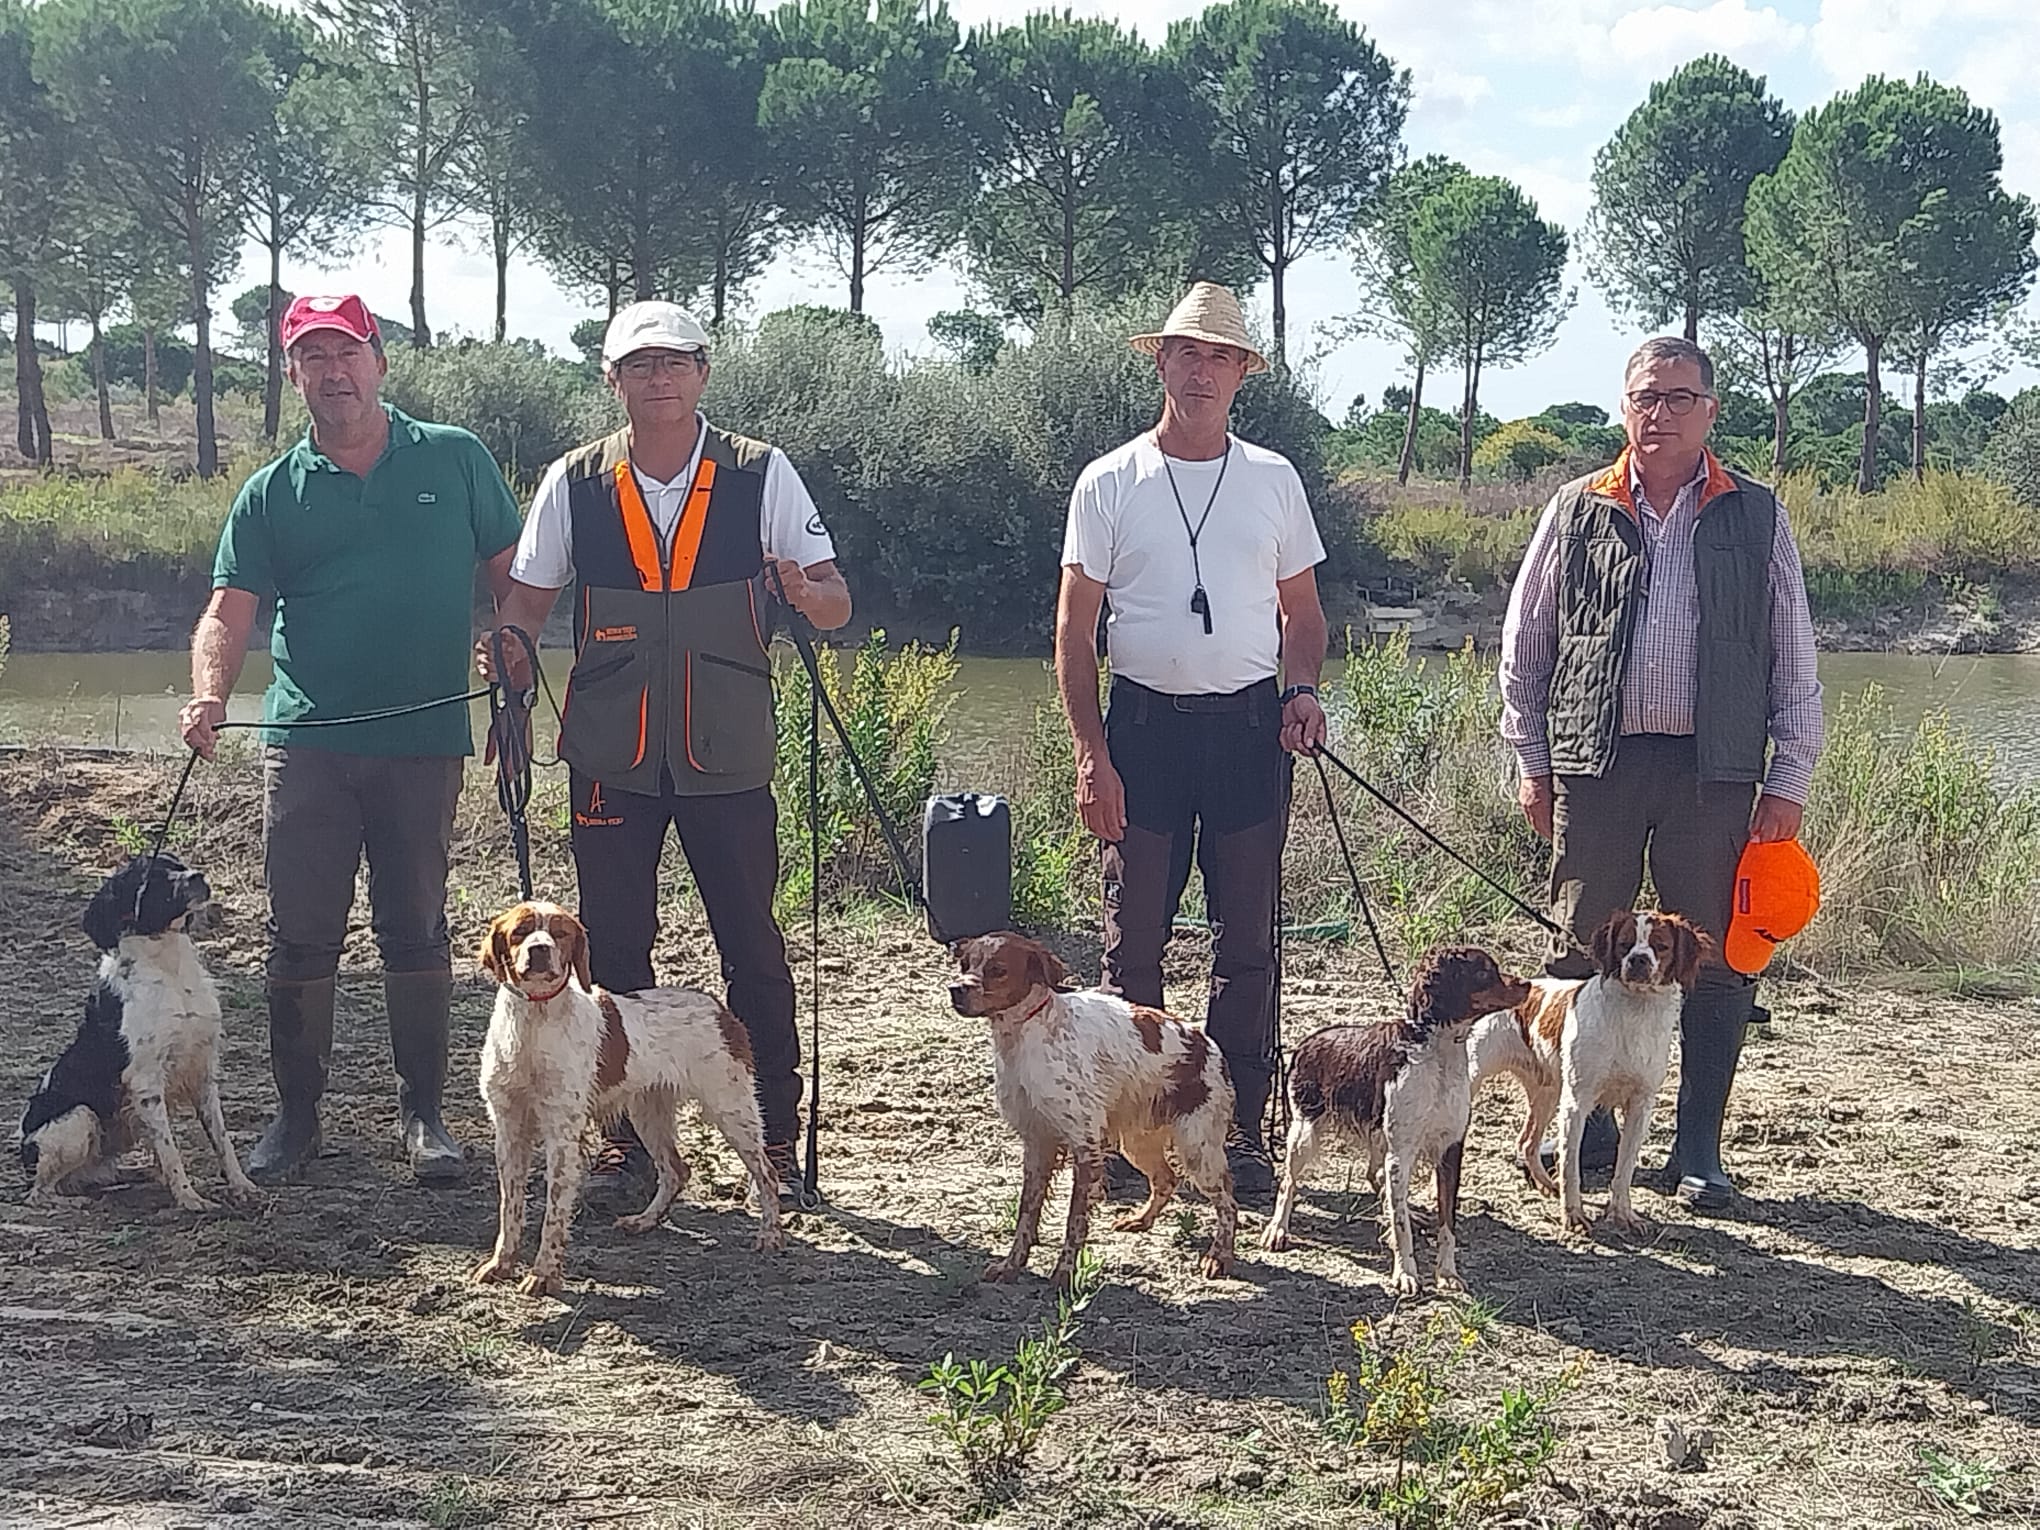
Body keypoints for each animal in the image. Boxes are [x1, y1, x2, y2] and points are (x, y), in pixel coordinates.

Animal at [17, 856, 257, 1215]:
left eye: (177, 864)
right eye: (151, 881)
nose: (198, 877)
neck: (170, 970)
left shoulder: (203, 1072)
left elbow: (222, 1140)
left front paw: (242, 1186)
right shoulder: (147, 1082)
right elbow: (170, 1149)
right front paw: (188, 1197)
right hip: (80, 1117)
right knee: (38, 1192)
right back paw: (77, 1202)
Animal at [473, 905, 783, 1297]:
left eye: (560, 934)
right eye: (520, 931)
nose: (539, 950)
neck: (533, 1021)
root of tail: (719, 1009)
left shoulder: (562, 1134)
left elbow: (553, 1213)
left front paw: (543, 1275)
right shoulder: (509, 1129)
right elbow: (509, 1208)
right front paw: (501, 1264)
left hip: (731, 1109)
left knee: (767, 1172)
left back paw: (770, 1235)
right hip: (647, 1114)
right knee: (676, 1170)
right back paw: (644, 1221)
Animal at [942, 934, 1240, 1297]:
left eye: (998, 970)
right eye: (965, 964)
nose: (956, 989)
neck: (1026, 1034)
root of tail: (1209, 1045)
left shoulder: (1085, 1146)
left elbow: (1074, 1221)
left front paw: (1064, 1275)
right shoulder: (1038, 1144)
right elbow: (1027, 1214)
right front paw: (1012, 1266)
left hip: (1198, 1151)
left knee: (1228, 1202)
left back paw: (1219, 1257)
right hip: (1137, 1143)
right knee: (1166, 1179)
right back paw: (1141, 1220)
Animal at [1256, 946, 1534, 1297]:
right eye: (1484, 971)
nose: (1527, 984)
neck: (1437, 1053)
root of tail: (1308, 1041)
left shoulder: (1449, 1149)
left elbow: (1445, 1222)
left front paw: (1447, 1273)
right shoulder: (1401, 1153)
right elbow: (1401, 1227)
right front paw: (1406, 1273)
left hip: (1379, 1139)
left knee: (1375, 1177)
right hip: (1304, 1134)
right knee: (1289, 1183)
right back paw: (1277, 1230)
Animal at [1468, 905, 1705, 1240]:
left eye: (1661, 945)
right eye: (1624, 943)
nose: (1638, 960)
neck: (1635, 1009)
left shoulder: (1640, 1106)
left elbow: (1624, 1169)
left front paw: (1622, 1214)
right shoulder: (1577, 1103)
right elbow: (1570, 1167)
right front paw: (1574, 1216)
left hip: (1547, 1092)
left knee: (1526, 1143)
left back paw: (1546, 1185)